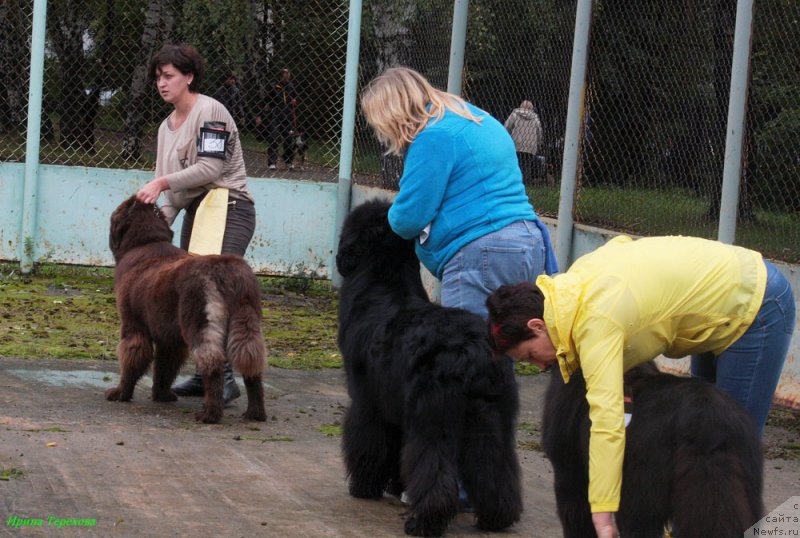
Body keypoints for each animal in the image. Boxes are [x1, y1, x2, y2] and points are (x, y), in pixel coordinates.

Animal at [104, 194, 268, 422]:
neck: (148, 242)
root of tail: (229, 271)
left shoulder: (133, 328)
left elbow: (132, 361)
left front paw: (120, 393)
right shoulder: (169, 338)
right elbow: (164, 367)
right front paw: (162, 396)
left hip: (200, 323)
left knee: (212, 365)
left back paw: (210, 414)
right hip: (247, 324)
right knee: (252, 365)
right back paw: (255, 413)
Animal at [334, 199, 520, 532]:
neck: (384, 279)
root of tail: (474, 348)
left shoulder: (368, 402)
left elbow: (368, 441)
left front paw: (364, 486)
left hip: (434, 418)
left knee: (433, 466)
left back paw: (424, 520)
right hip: (491, 417)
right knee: (494, 467)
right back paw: (496, 517)